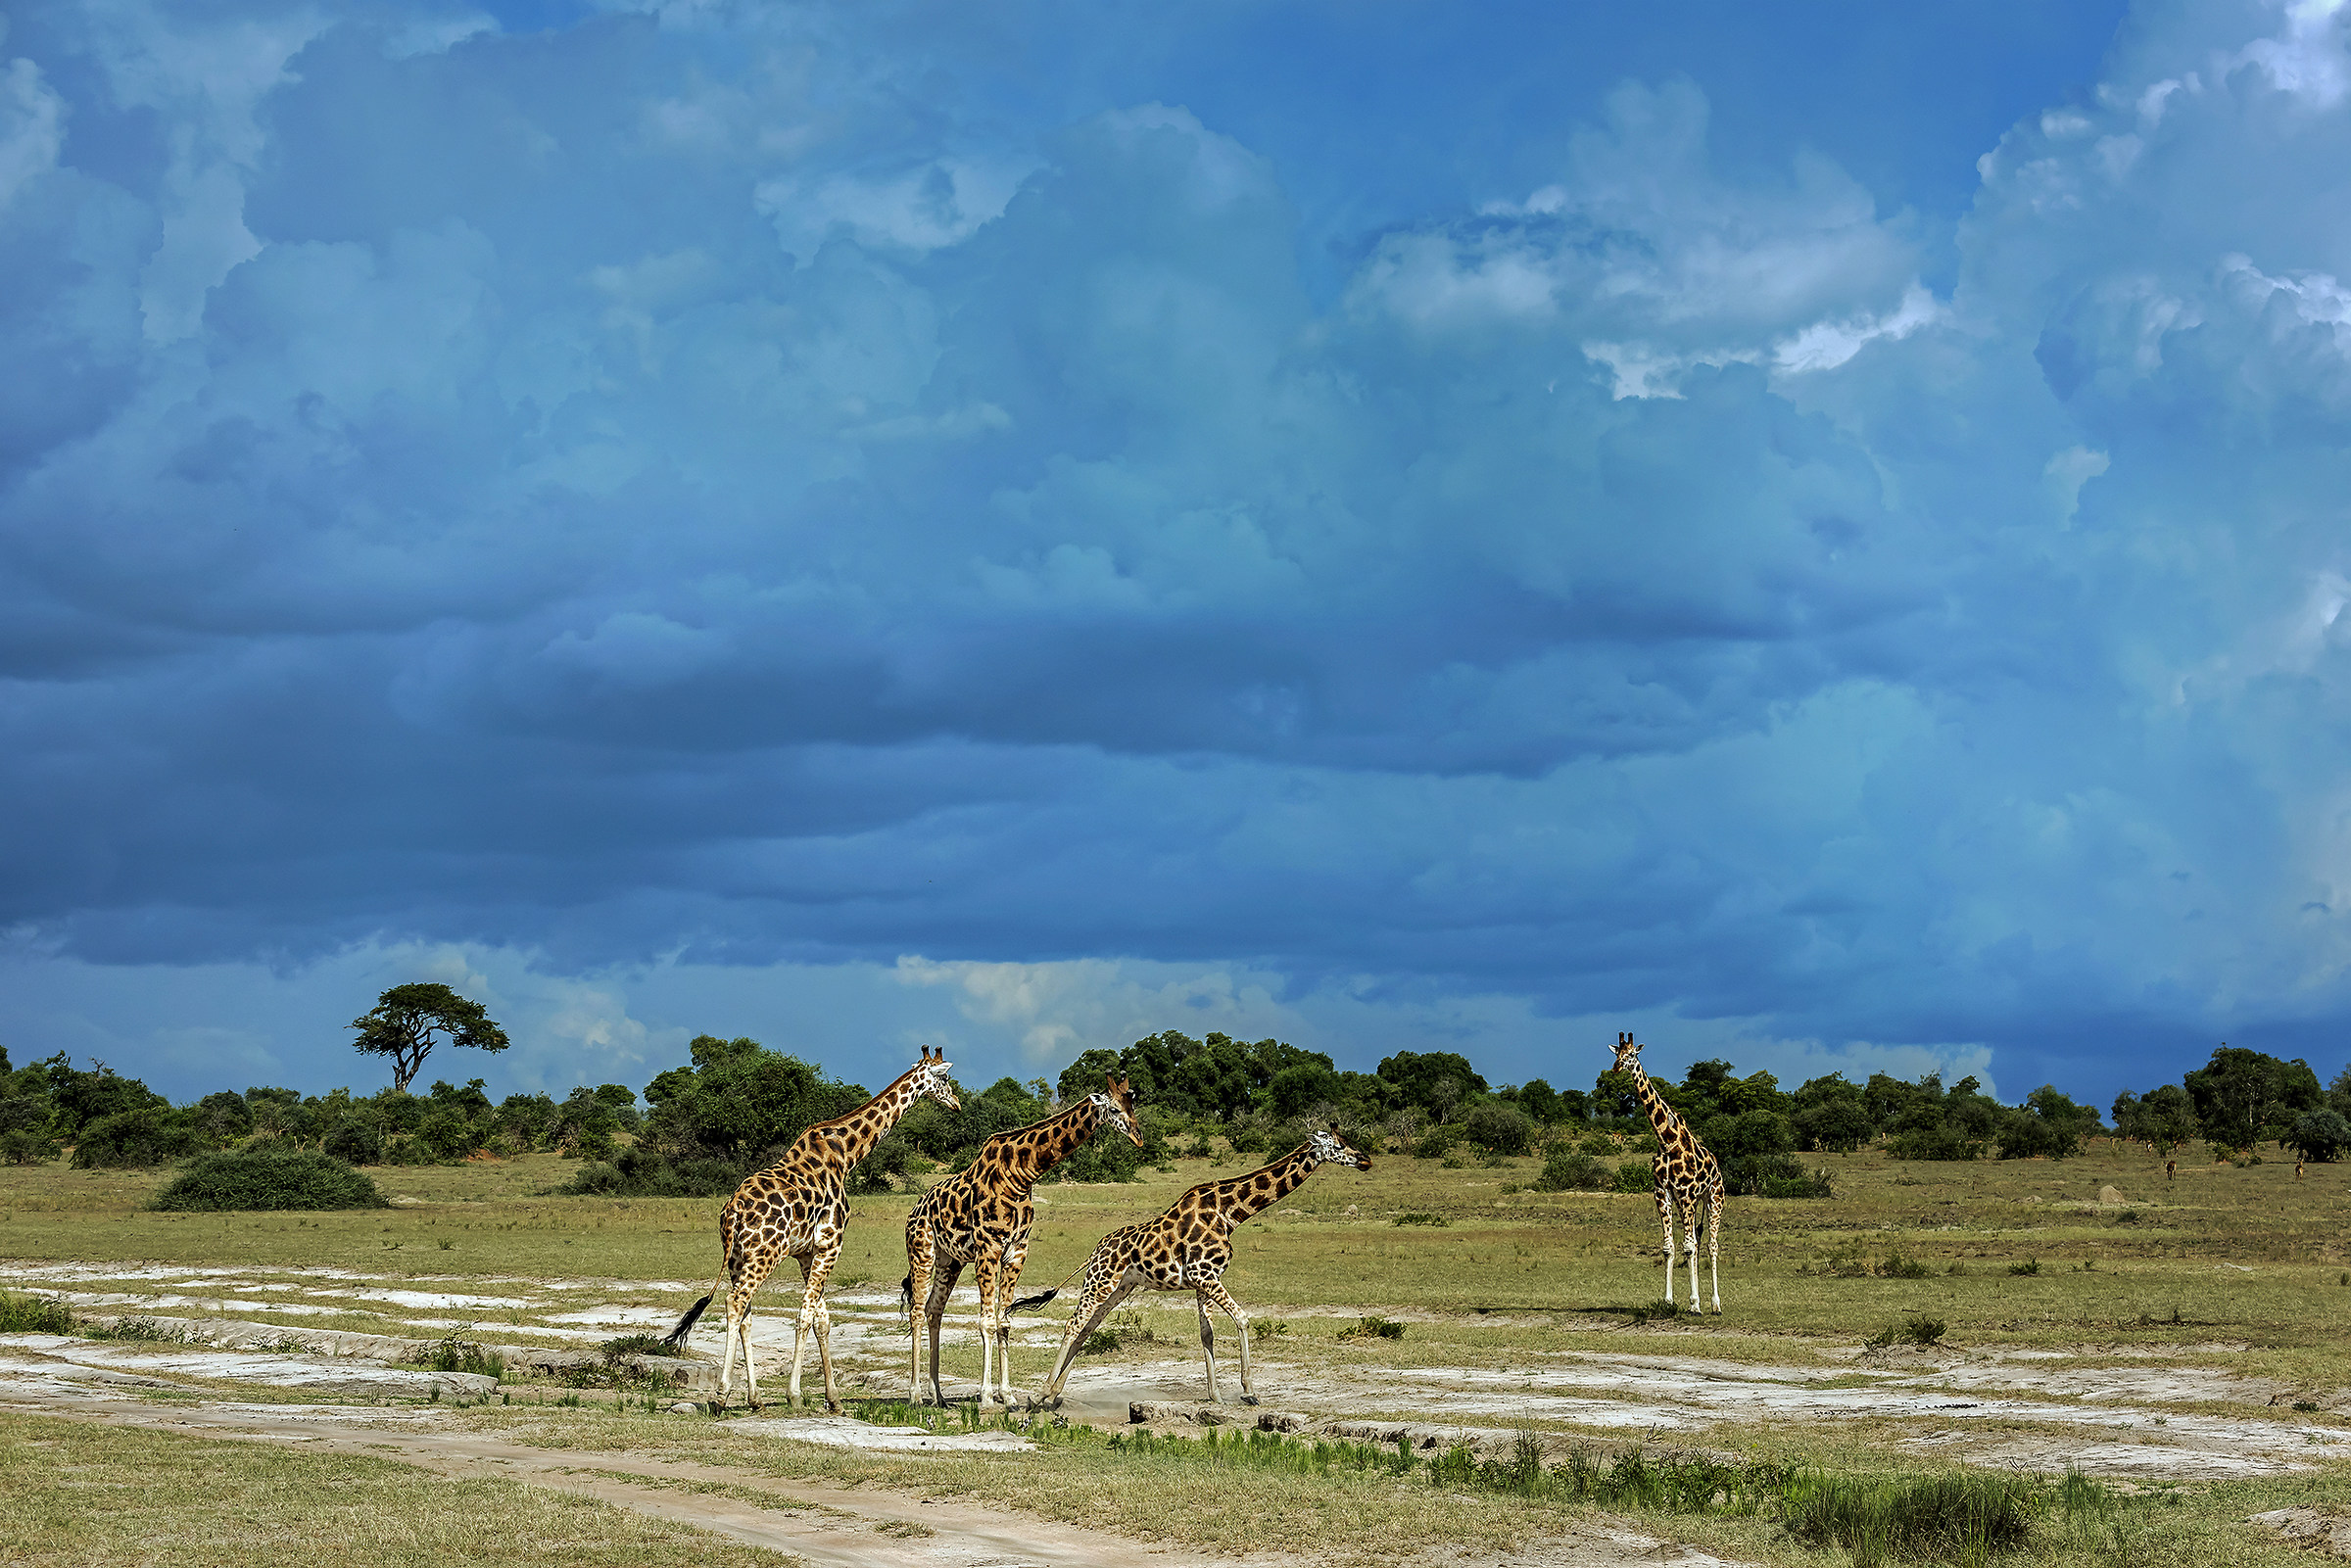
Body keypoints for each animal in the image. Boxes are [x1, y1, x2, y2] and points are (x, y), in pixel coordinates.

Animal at [661, 1046, 960, 1412]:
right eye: (945, 1079)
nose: (956, 1104)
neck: (846, 1156)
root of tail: (732, 1213)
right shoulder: (832, 1242)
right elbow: (806, 1314)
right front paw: (795, 1394)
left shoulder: (807, 1252)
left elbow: (822, 1318)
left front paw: (834, 1399)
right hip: (765, 1254)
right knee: (735, 1303)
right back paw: (721, 1394)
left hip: (737, 1258)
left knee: (746, 1313)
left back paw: (755, 1399)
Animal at [900, 1075, 1143, 1408]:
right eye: (1116, 1108)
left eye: (1134, 1106)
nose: (1139, 1137)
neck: (1021, 1175)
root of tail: (913, 1211)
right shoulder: (988, 1249)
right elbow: (987, 1321)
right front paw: (987, 1398)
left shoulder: (1016, 1252)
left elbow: (1004, 1321)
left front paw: (1008, 1395)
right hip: (922, 1251)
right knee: (916, 1312)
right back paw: (914, 1395)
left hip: (950, 1261)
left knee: (933, 1310)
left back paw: (937, 1394)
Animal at [1035, 1128, 1371, 1409]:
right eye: (1338, 1145)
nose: (1365, 1160)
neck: (1229, 1212)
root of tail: (1097, 1249)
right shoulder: (1203, 1273)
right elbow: (1242, 1319)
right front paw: (1249, 1391)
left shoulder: (1204, 1278)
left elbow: (1206, 1334)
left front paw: (1216, 1395)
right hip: (1101, 1279)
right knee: (1073, 1324)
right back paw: (1042, 1393)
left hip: (1120, 1286)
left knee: (1087, 1328)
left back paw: (1055, 1394)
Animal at [1611, 1031, 1725, 1315]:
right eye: (1617, 1054)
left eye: (1632, 1055)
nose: (1616, 1068)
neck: (1666, 1140)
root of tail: (1717, 1166)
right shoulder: (1662, 1194)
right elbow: (1669, 1247)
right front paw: (1669, 1301)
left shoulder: (1685, 1195)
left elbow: (1688, 1247)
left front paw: (1694, 1305)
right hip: (1698, 1201)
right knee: (1698, 1242)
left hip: (1714, 1197)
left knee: (1711, 1245)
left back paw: (1715, 1304)